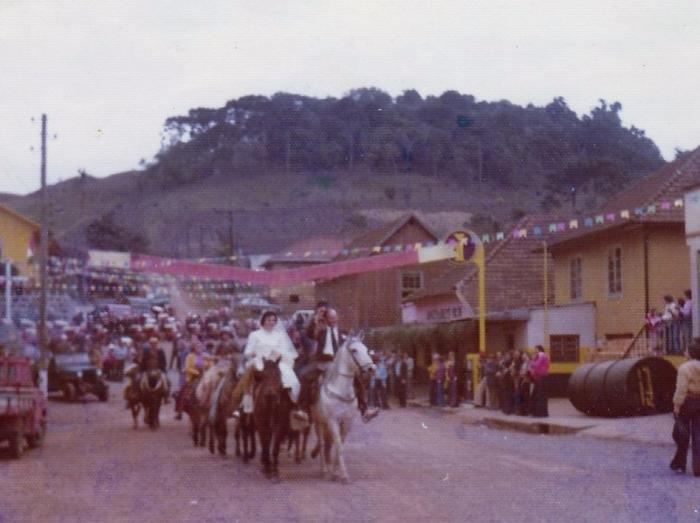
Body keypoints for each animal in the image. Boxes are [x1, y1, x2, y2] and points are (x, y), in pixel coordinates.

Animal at [314, 334, 378, 486]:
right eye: (354, 350)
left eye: (366, 349)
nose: (372, 368)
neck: (340, 391)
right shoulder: (332, 421)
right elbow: (339, 446)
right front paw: (343, 475)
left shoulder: (347, 422)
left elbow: (340, 445)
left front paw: (336, 472)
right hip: (319, 422)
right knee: (321, 443)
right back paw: (324, 470)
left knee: (327, 445)